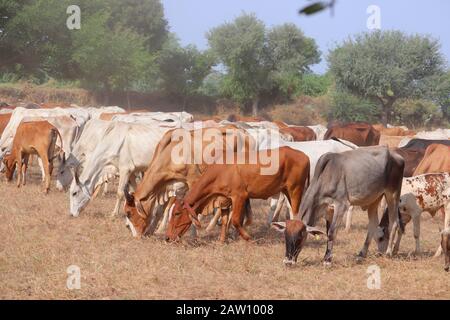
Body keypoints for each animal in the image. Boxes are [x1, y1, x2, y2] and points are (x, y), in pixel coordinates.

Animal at [165, 146, 310, 241]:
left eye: (177, 213)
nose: (167, 238)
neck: (221, 171)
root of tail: (304, 155)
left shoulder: (239, 196)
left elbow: (235, 220)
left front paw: (247, 237)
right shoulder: (224, 199)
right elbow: (224, 220)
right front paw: (222, 241)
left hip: (295, 190)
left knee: (296, 214)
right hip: (287, 191)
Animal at [272, 146, 406, 264]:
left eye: (300, 238)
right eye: (285, 237)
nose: (288, 261)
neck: (326, 176)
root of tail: (397, 156)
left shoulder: (341, 205)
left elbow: (332, 233)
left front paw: (327, 261)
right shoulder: (328, 210)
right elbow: (328, 233)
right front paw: (326, 257)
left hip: (392, 194)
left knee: (394, 223)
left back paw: (389, 252)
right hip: (374, 199)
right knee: (373, 224)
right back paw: (361, 254)